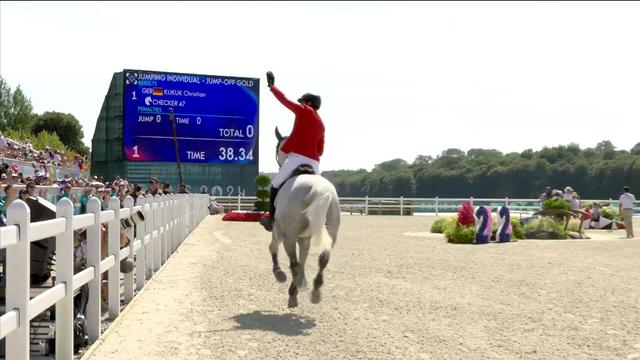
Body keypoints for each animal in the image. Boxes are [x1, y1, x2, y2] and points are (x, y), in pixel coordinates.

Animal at [268, 128, 340, 308]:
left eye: (277, 148)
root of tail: (319, 189)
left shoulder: (280, 231)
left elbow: (273, 247)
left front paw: (279, 273)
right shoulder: (305, 238)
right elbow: (304, 260)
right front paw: (303, 282)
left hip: (289, 236)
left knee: (293, 264)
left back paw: (292, 295)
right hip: (331, 234)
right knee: (324, 258)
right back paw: (315, 292)